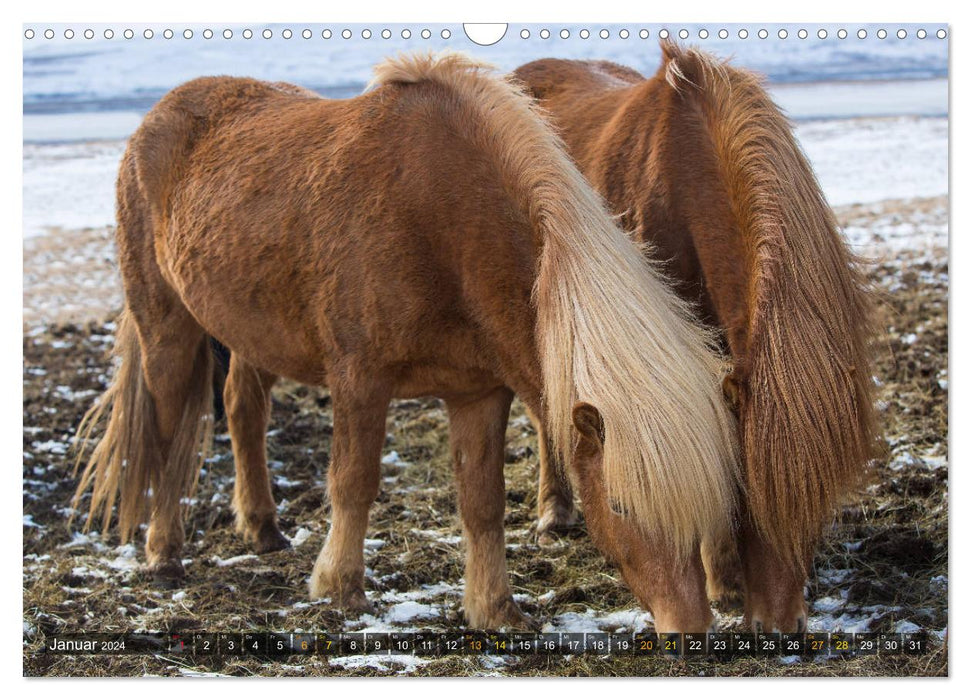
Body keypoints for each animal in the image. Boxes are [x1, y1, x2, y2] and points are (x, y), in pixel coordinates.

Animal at [76, 54, 740, 632]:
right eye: (621, 506)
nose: (690, 627)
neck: (442, 215)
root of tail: (159, 115)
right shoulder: (359, 380)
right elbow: (354, 481)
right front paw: (339, 587)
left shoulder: (478, 394)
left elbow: (483, 502)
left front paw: (495, 609)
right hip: (166, 324)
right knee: (165, 435)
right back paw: (163, 554)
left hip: (253, 331)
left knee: (242, 408)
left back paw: (263, 530)